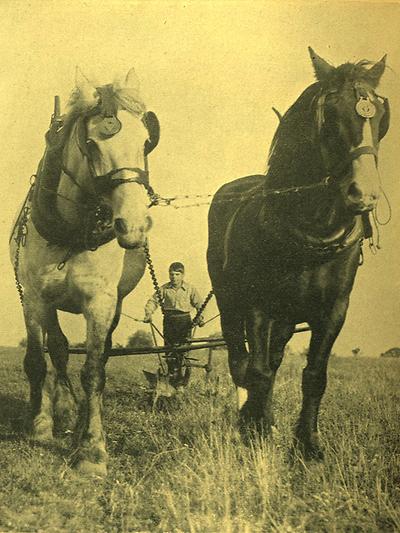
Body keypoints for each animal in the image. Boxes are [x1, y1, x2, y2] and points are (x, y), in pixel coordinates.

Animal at [208, 47, 390, 460]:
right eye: (331, 114)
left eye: (380, 116)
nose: (364, 193)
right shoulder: (258, 305)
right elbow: (256, 371)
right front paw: (254, 430)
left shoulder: (332, 310)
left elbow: (314, 375)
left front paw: (306, 442)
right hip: (230, 301)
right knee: (240, 361)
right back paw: (248, 418)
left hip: (287, 319)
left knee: (272, 361)